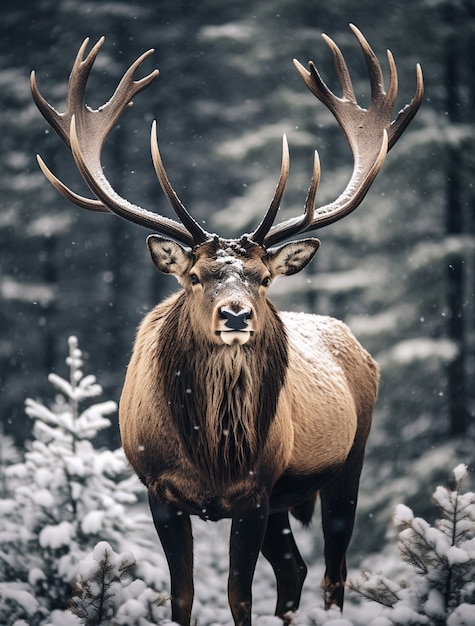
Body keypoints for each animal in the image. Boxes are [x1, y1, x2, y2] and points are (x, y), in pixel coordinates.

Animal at [31, 26, 422, 624]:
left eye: (262, 278)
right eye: (195, 275)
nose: (236, 313)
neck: (209, 456)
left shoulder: (255, 491)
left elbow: (239, 596)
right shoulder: (161, 492)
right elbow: (183, 596)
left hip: (347, 464)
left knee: (333, 571)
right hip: (286, 499)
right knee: (295, 569)